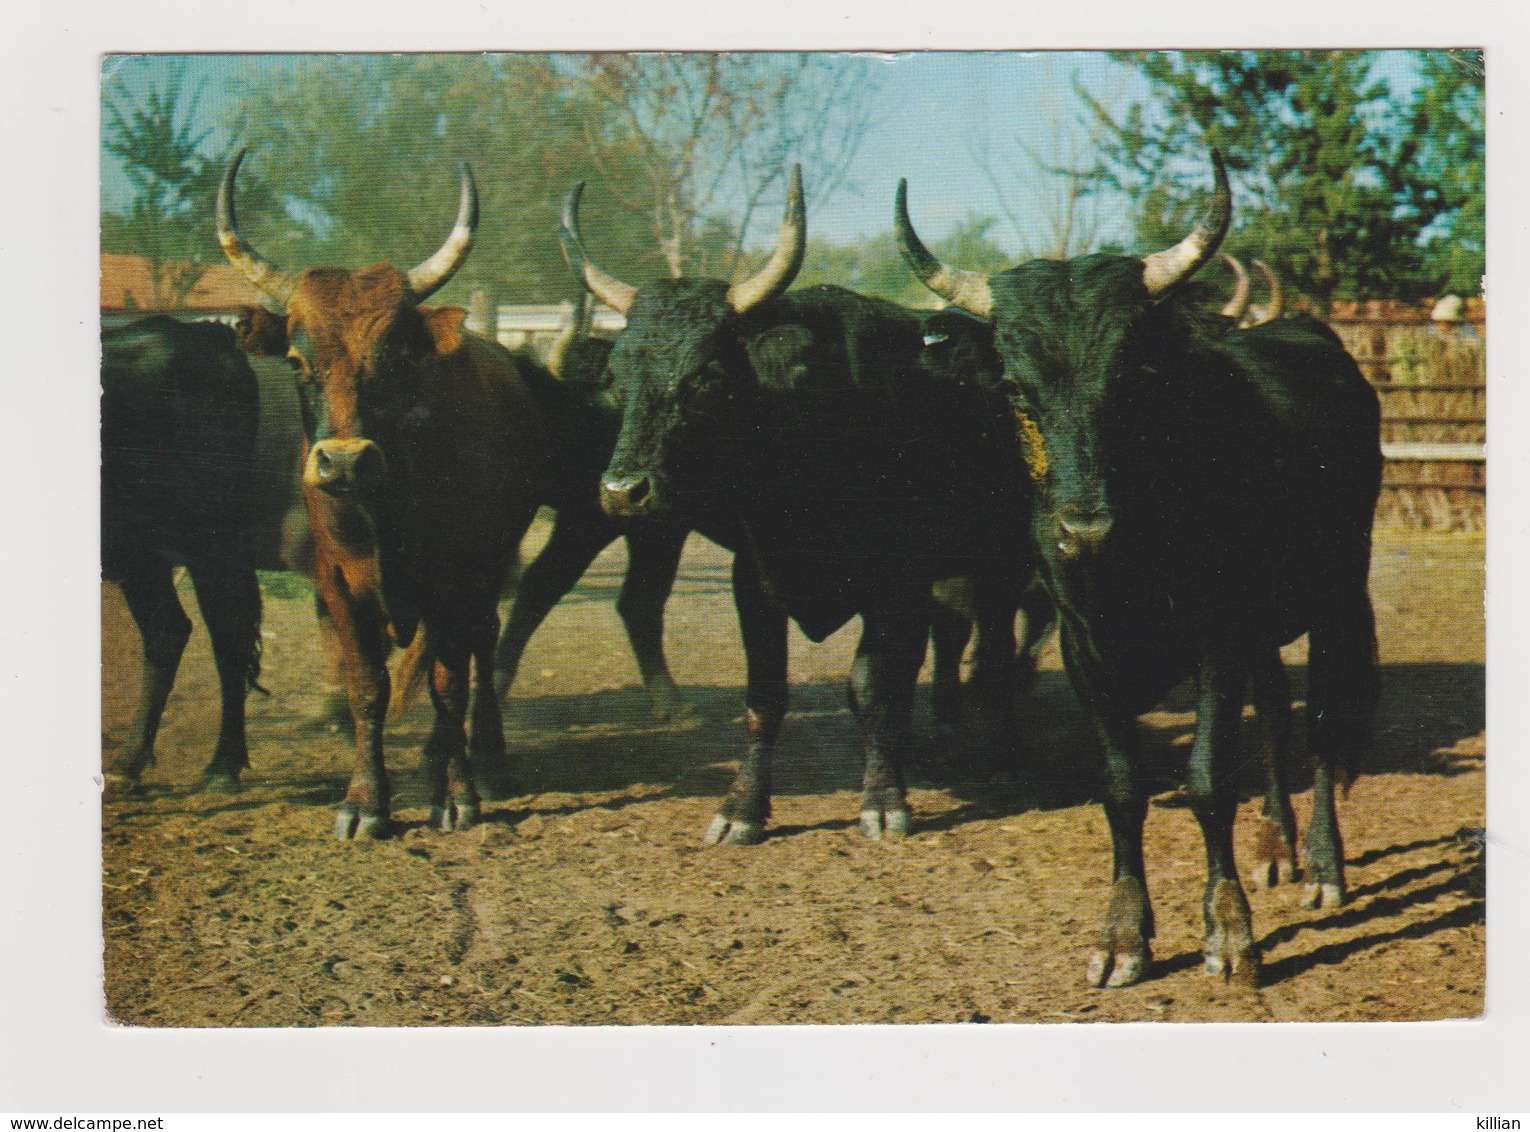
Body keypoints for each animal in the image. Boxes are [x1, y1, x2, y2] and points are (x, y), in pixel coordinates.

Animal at [215, 150, 550, 838]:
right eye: (296, 360)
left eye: (394, 357)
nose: (344, 462)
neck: (390, 506)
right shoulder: (337, 583)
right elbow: (365, 687)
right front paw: (365, 802)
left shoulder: (458, 582)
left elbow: (449, 683)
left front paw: (457, 794)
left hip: (491, 568)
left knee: (482, 646)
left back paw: (483, 755)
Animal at [893, 154, 1389, 985]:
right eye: (1015, 389)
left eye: (1131, 377)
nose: (1084, 526)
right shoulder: (1083, 648)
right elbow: (1122, 787)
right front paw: (1124, 933)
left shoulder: (1216, 638)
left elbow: (1208, 778)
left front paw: (1228, 930)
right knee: (1276, 713)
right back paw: (1274, 842)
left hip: (1340, 593)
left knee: (1323, 726)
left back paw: (1322, 863)